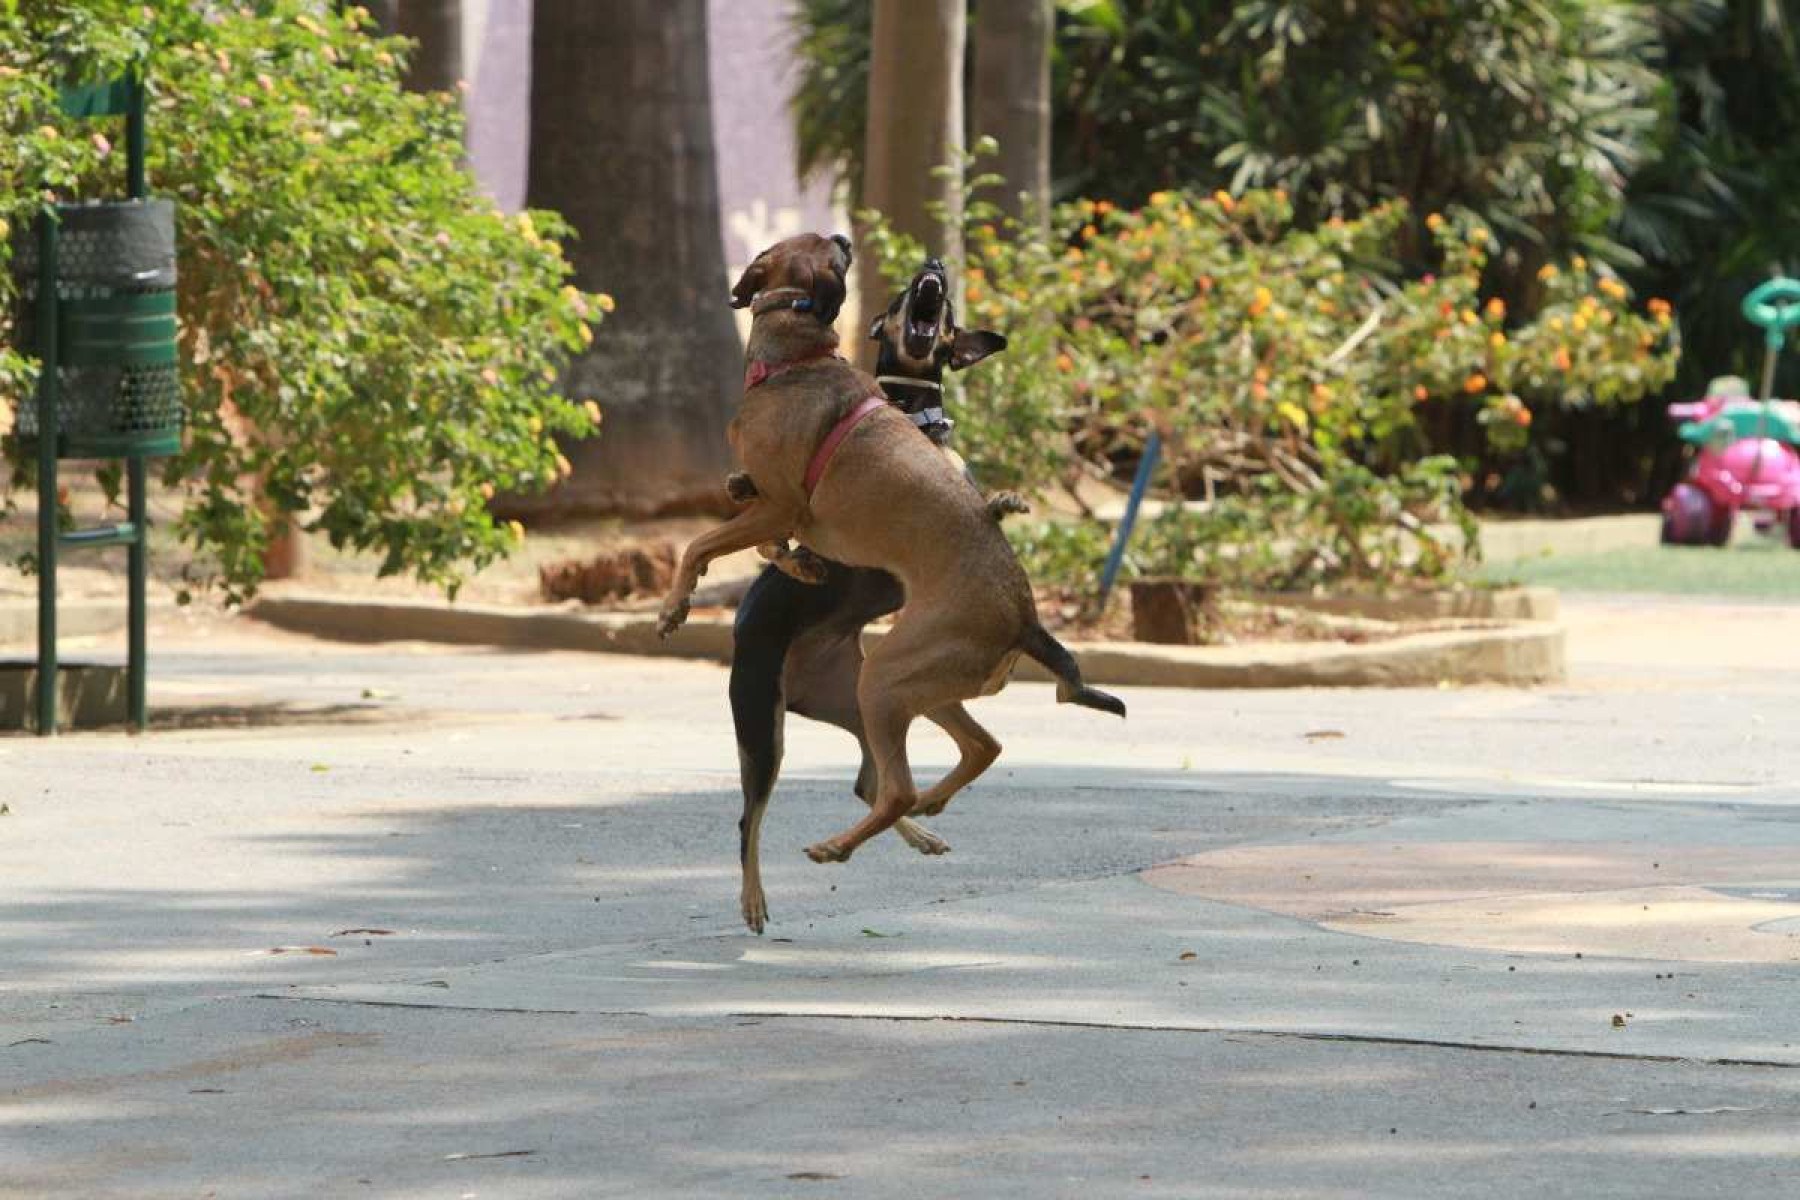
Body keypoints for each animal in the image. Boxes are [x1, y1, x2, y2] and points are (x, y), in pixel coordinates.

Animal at [655, 233, 1116, 867]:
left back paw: (839, 844)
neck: (798, 355)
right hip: (916, 684)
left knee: (896, 789)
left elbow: (699, 545)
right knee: (977, 748)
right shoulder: (775, 508)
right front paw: (798, 564)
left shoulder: (782, 504)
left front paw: (674, 606)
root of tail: (1024, 617)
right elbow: (757, 535)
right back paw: (924, 810)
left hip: (883, 678)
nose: (845, 237)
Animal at [730, 260, 1015, 935]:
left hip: (858, 698)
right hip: (762, 729)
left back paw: (913, 833)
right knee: (750, 818)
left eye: (947, 304)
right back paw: (755, 898)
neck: (912, 413)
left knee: (873, 783)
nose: (934, 267)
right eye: (908, 288)